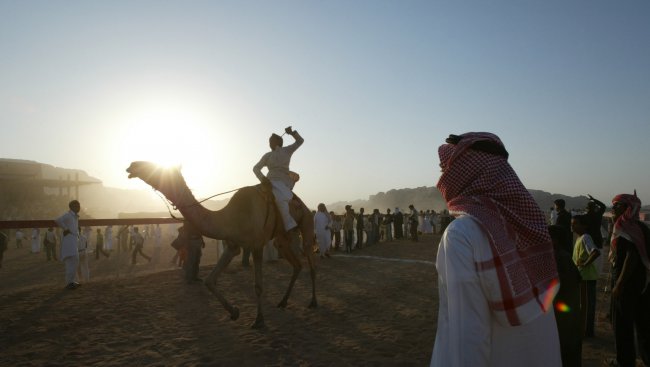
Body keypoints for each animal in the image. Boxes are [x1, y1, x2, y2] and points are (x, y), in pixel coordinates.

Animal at [125, 162, 316, 330]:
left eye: (153, 167)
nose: (132, 165)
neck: (230, 218)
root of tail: (303, 204)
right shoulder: (233, 246)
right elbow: (209, 280)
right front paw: (234, 312)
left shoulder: (256, 245)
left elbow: (258, 286)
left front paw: (259, 321)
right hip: (282, 237)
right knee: (295, 263)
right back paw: (283, 301)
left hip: (306, 221)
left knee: (309, 259)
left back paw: (313, 301)